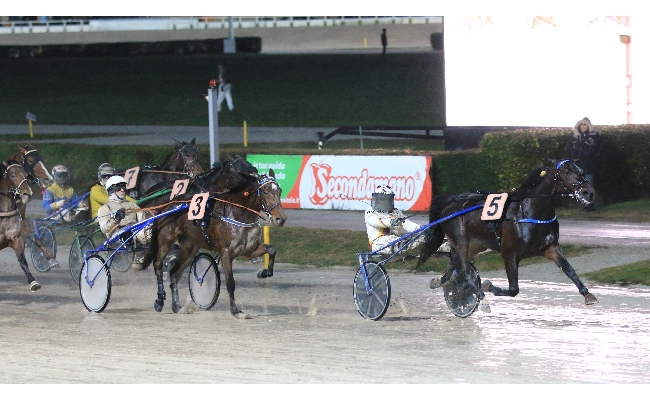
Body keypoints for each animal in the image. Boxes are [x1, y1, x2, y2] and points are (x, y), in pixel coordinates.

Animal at [0, 160, 41, 290]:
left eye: (26, 174)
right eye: (12, 174)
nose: (27, 193)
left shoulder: (16, 239)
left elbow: (23, 261)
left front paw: (33, 282)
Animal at [142, 158, 286, 318]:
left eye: (279, 191)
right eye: (266, 191)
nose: (281, 219)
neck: (238, 214)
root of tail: (166, 207)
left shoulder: (249, 250)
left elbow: (271, 250)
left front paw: (264, 273)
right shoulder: (226, 253)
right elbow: (230, 283)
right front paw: (235, 310)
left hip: (190, 248)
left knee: (174, 274)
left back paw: (177, 306)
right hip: (165, 240)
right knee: (158, 265)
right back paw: (160, 300)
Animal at [418, 159, 596, 312]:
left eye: (581, 171)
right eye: (566, 171)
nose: (588, 192)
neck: (530, 213)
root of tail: (451, 202)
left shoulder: (551, 248)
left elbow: (569, 270)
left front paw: (588, 294)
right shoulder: (508, 253)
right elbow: (513, 289)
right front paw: (488, 287)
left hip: (476, 244)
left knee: (454, 265)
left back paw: (441, 281)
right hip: (461, 240)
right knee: (464, 269)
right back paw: (480, 298)